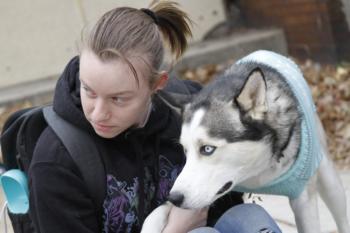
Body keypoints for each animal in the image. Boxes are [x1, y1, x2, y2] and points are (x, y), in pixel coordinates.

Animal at [141, 49, 348, 233]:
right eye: (185, 150)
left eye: (207, 149)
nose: (175, 197)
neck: (254, 173)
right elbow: (157, 212)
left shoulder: (303, 199)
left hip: (327, 176)